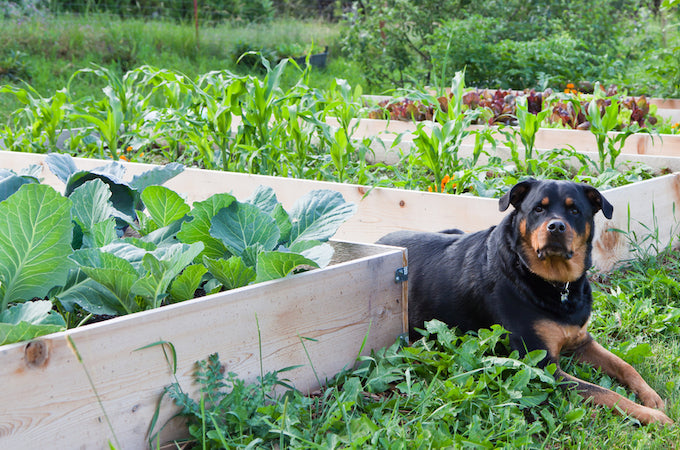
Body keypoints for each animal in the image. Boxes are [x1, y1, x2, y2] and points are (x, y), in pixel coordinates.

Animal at [380, 178, 672, 424]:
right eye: (538, 209)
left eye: (575, 211)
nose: (556, 226)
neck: (555, 284)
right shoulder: (541, 364)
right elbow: (604, 392)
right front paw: (654, 417)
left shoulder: (581, 341)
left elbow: (625, 366)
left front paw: (653, 398)